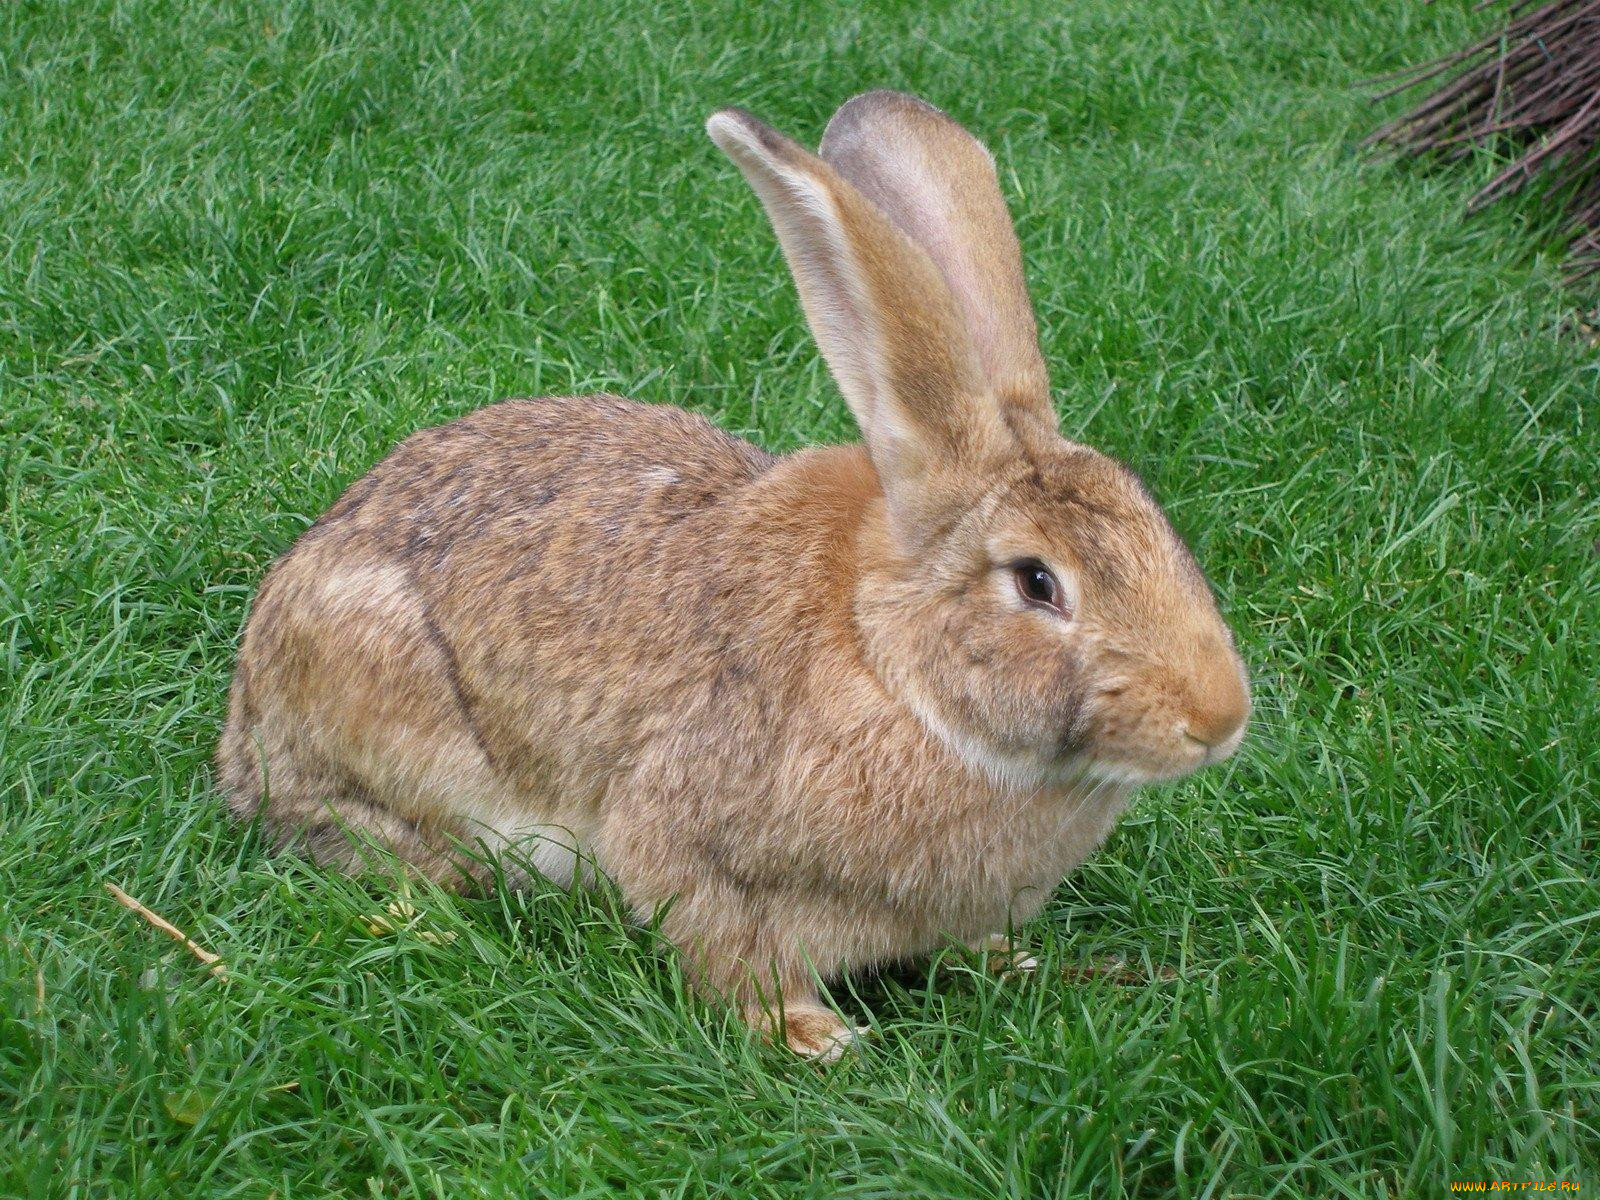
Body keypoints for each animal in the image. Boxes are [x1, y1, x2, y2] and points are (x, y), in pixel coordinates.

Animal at [219, 94, 1248, 1062]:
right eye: (1037, 582)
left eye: (1159, 525)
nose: (1219, 719)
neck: (892, 665)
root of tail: (242, 727)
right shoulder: (689, 846)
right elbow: (725, 953)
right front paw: (811, 1039)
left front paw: (1016, 963)